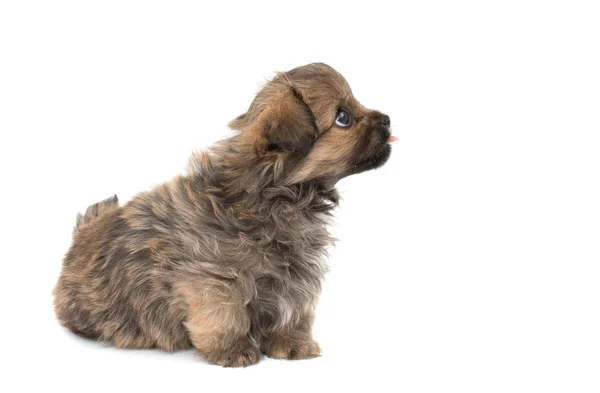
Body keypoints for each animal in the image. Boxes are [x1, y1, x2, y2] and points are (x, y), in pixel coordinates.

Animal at [54, 62, 396, 366]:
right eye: (343, 118)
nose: (388, 119)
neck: (271, 195)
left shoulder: (294, 274)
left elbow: (293, 310)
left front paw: (291, 343)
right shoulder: (213, 277)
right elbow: (225, 315)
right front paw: (232, 350)